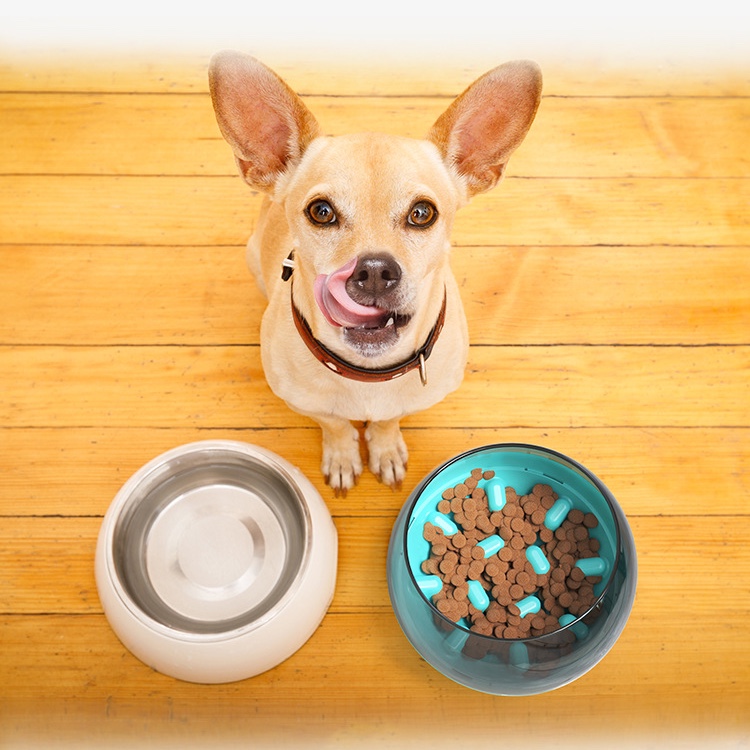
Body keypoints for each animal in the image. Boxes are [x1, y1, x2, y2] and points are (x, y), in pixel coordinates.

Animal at [209, 48, 544, 494]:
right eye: (321, 211)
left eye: (422, 213)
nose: (372, 271)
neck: (366, 376)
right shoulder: (307, 404)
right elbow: (333, 423)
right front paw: (342, 454)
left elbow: (388, 420)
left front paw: (384, 448)